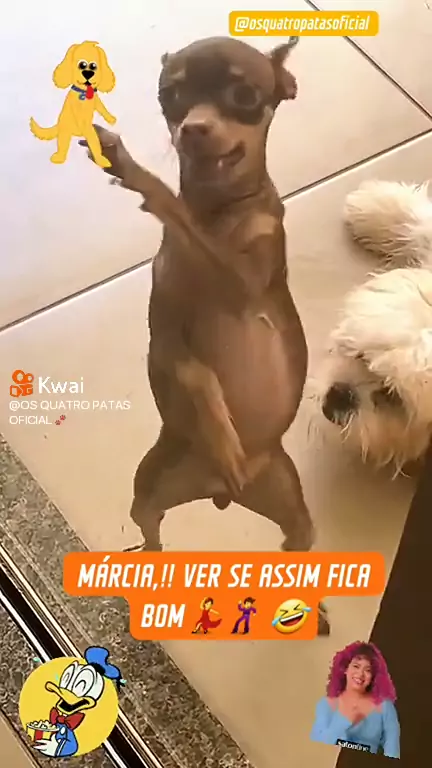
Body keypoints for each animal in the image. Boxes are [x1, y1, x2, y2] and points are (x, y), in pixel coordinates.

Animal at [80, 36, 330, 634]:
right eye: (170, 96)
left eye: (244, 95)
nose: (192, 128)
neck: (217, 212)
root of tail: (218, 494)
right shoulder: (165, 340)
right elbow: (194, 372)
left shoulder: (243, 285)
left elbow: (183, 218)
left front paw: (141, 177)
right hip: (149, 487)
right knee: (151, 529)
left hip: (294, 513)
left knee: (296, 549)